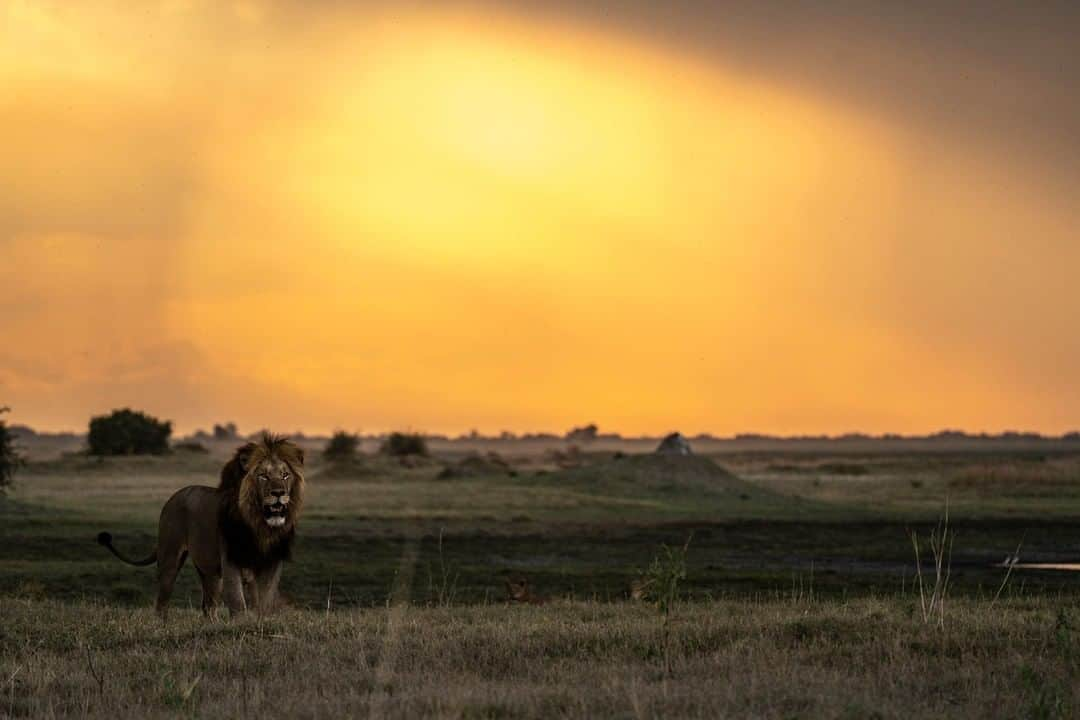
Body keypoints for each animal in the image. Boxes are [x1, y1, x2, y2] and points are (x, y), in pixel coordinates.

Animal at [96, 433, 304, 621]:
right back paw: (161, 625)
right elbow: (237, 600)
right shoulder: (231, 560)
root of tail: (175, 496)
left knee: (208, 605)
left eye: (285, 475)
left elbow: (264, 600)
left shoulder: (271, 563)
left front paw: (261, 621)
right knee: (162, 599)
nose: (279, 493)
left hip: (209, 571)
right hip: (170, 557)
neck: (259, 526)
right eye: (263, 476)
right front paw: (241, 624)